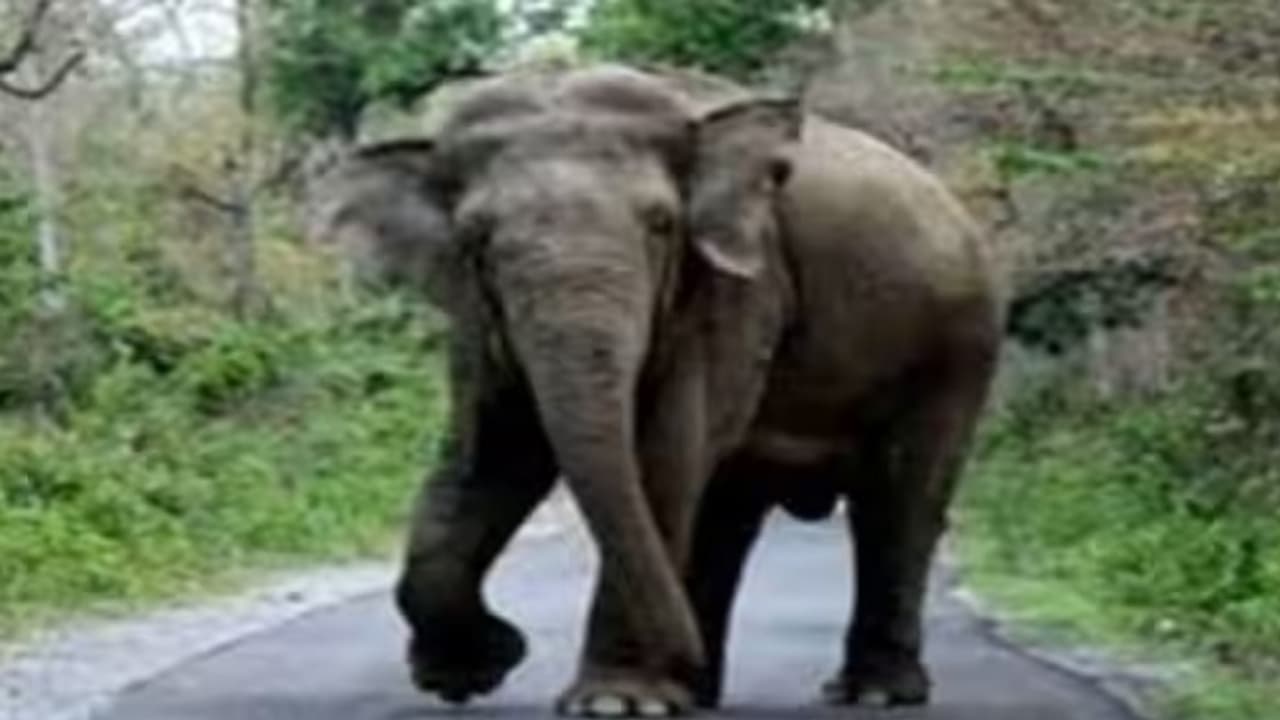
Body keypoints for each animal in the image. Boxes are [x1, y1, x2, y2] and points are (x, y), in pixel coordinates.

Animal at [307, 64, 1003, 717]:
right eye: (475, 238)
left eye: (662, 224)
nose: (512, 644)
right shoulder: (478, 317)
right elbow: (489, 461)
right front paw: (468, 673)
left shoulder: (738, 288)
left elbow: (659, 455)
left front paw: (613, 703)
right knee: (726, 509)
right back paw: (697, 689)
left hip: (957, 348)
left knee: (900, 499)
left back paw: (873, 694)